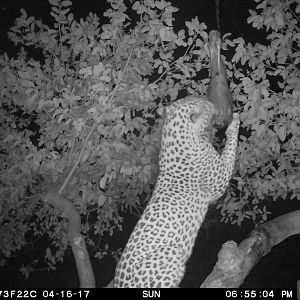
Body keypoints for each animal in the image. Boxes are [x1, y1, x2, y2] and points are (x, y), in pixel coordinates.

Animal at [113, 96, 240, 288]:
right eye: (206, 104)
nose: (212, 103)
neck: (173, 134)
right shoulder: (220, 179)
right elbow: (230, 151)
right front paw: (234, 124)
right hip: (171, 255)